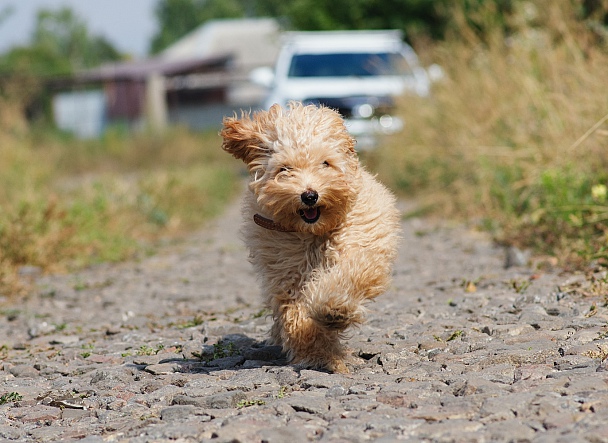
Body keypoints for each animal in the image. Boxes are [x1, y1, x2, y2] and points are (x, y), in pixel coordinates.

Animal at [221, 102, 402, 372]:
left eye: (325, 163)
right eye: (285, 169)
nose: (309, 196)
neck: (313, 234)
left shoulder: (359, 248)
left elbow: (347, 275)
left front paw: (333, 309)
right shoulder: (287, 272)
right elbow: (296, 312)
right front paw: (318, 353)